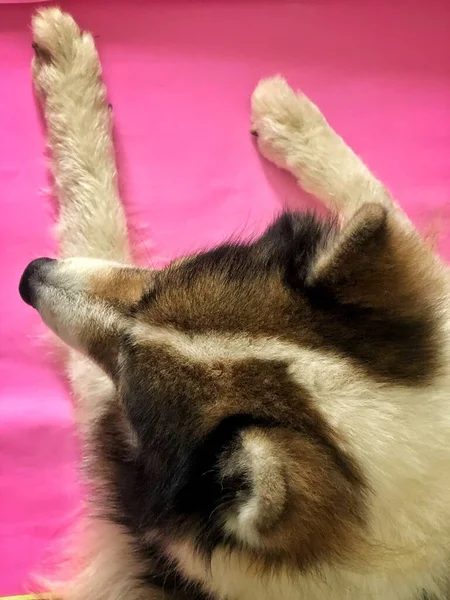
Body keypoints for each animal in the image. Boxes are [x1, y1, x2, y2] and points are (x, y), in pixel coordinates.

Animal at [19, 8, 450, 600]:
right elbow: (383, 206)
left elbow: (95, 226)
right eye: (167, 278)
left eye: (130, 388)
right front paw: (292, 120)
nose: (28, 276)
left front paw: (68, 75)